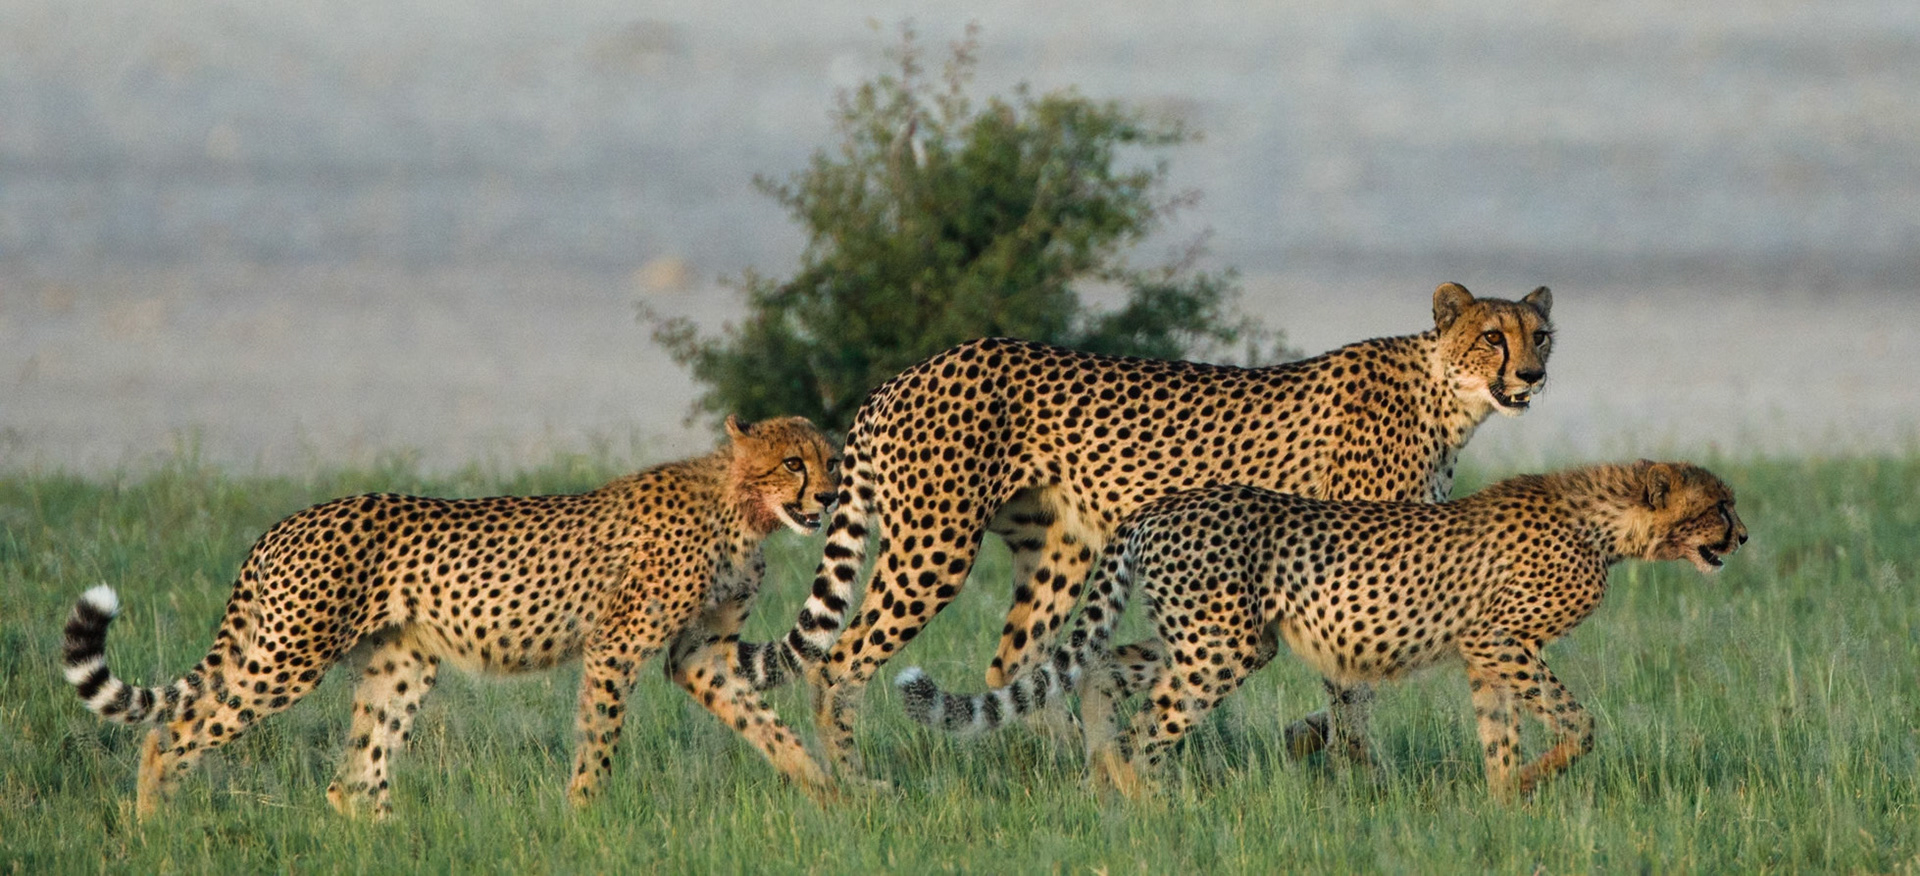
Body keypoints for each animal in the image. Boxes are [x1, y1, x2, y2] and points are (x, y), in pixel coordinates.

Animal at [61, 415, 838, 820]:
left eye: (830, 459)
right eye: (792, 463)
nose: (829, 497)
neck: (742, 509)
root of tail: (280, 525)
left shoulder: (699, 654)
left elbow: (768, 727)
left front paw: (836, 793)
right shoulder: (616, 646)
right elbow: (599, 741)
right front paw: (584, 818)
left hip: (401, 664)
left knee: (352, 777)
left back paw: (394, 842)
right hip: (289, 658)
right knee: (172, 733)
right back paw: (152, 828)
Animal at [734, 282, 1555, 783]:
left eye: (1540, 334)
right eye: (1492, 336)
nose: (1533, 375)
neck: (1448, 397)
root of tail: (900, 377)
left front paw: (1313, 742)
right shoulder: (1349, 564)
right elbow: (1353, 688)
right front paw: (1362, 771)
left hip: (1060, 549)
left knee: (1018, 666)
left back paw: (1078, 761)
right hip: (934, 545)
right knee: (839, 663)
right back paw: (853, 781)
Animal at [896, 460, 1748, 800]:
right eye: (1718, 505)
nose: (1742, 537)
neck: (1608, 522)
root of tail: (1161, 505)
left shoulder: (1485, 655)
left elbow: (1498, 732)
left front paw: (1507, 799)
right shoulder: (1501, 642)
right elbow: (1581, 721)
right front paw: (1538, 779)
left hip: (1208, 634)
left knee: (1105, 674)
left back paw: (1107, 777)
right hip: (1222, 645)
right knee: (1150, 724)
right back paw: (1152, 805)